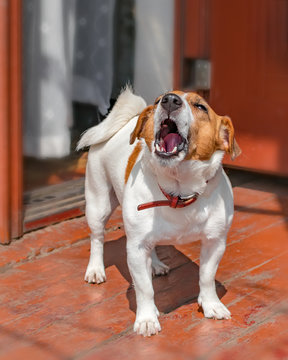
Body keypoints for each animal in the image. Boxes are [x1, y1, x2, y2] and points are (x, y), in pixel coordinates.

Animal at [76, 87, 241, 338]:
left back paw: (154, 264)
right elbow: (144, 288)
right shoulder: (135, 249)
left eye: (201, 106)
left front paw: (211, 304)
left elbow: (206, 277)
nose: (170, 100)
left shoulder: (215, 242)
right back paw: (95, 269)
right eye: (158, 100)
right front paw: (146, 318)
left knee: (151, 246)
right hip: (98, 204)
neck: (179, 192)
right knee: (97, 239)